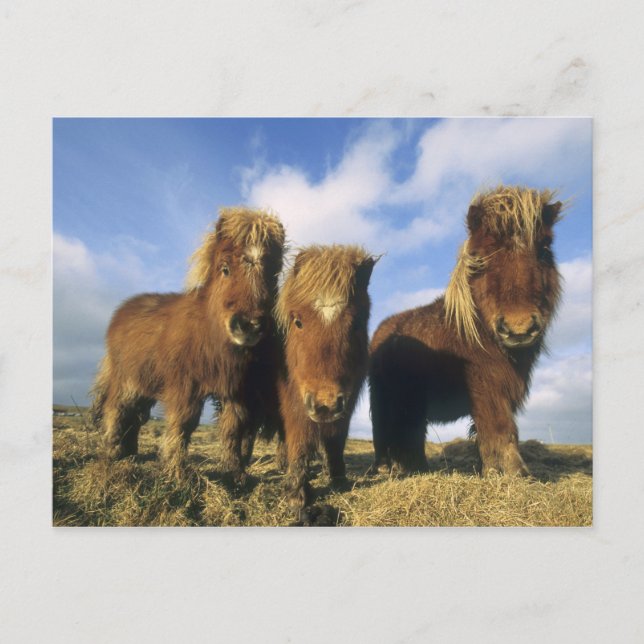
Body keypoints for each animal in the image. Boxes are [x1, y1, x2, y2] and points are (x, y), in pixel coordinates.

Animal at [90, 207, 285, 481]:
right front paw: (175, 472)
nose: (250, 325)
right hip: (127, 381)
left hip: (146, 384)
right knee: (116, 410)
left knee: (135, 417)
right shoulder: (185, 386)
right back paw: (113, 454)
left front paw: (234, 474)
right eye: (225, 268)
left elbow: (232, 429)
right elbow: (183, 424)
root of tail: (121, 311)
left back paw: (129, 453)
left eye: (273, 275)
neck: (209, 332)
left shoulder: (235, 391)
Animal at [274, 245, 377, 524]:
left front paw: (339, 479)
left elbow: (336, 442)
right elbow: (298, 444)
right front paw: (297, 497)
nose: (325, 405)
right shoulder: (295, 403)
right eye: (298, 321)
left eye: (356, 322)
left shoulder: (346, 405)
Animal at [369, 186, 563, 476]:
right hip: (385, 399)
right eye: (481, 258)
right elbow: (500, 427)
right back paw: (386, 469)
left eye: (544, 250)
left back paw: (416, 468)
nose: (519, 329)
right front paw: (513, 473)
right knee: (385, 431)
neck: (477, 331)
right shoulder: (486, 387)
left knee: (410, 433)